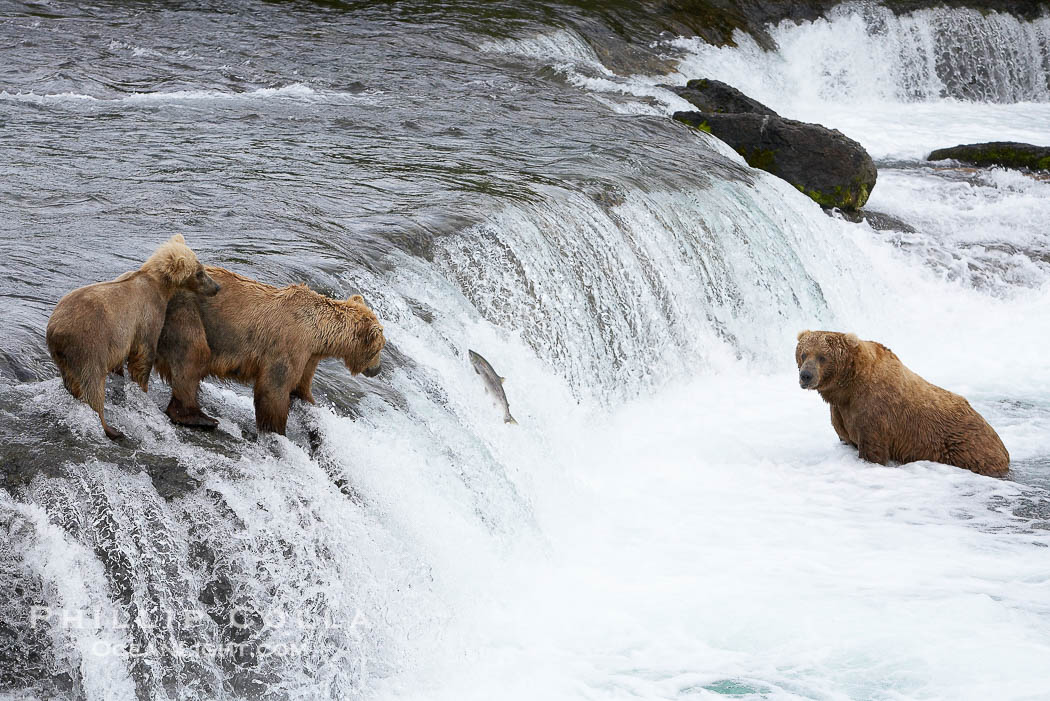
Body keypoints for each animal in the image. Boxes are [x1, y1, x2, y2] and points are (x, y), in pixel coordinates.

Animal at [46, 234, 220, 440]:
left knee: (73, 381)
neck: (160, 285)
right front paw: (142, 387)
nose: (216, 287)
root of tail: (56, 329)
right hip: (89, 344)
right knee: (92, 383)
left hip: (63, 356)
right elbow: (143, 353)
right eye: (199, 272)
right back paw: (110, 428)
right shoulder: (147, 314)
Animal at [154, 266, 385, 435]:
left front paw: (310, 402)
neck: (318, 332)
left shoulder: (309, 355)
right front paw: (276, 430)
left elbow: (301, 384)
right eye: (379, 348)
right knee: (193, 355)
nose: (378, 369)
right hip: (186, 311)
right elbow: (274, 388)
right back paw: (200, 418)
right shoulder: (289, 344)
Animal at [795, 330, 1009, 477]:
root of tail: (1002, 448)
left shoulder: (874, 412)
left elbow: (873, 449)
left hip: (967, 449)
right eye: (804, 354)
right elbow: (844, 435)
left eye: (822, 356)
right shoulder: (841, 412)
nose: (806, 375)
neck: (848, 387)